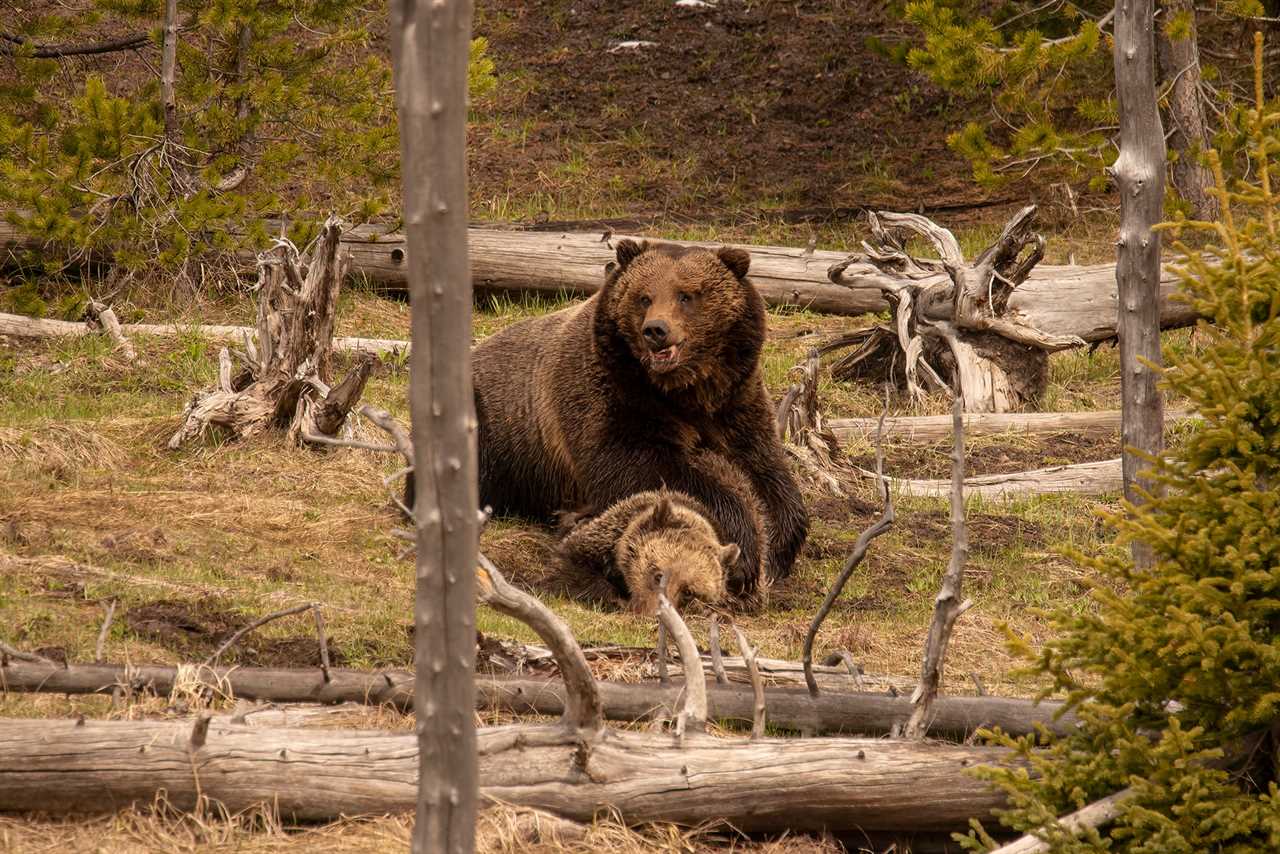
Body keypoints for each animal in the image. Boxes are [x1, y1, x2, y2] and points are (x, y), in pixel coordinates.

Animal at [471, 236, 808, 591]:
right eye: (644, 296)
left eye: (686, 295)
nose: (656, 330)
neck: (684, 391)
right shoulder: (614, 397)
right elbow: (645, 470)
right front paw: (744, 549)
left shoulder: (734, 402)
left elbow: (765, 468)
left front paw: (780, 546)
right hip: (492, 422)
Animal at [560, 491, 742, 617]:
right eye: (658, 575)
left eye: (689, 592)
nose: (654, 613)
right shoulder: (601, 542)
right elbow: (570, 568)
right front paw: (617, 601)